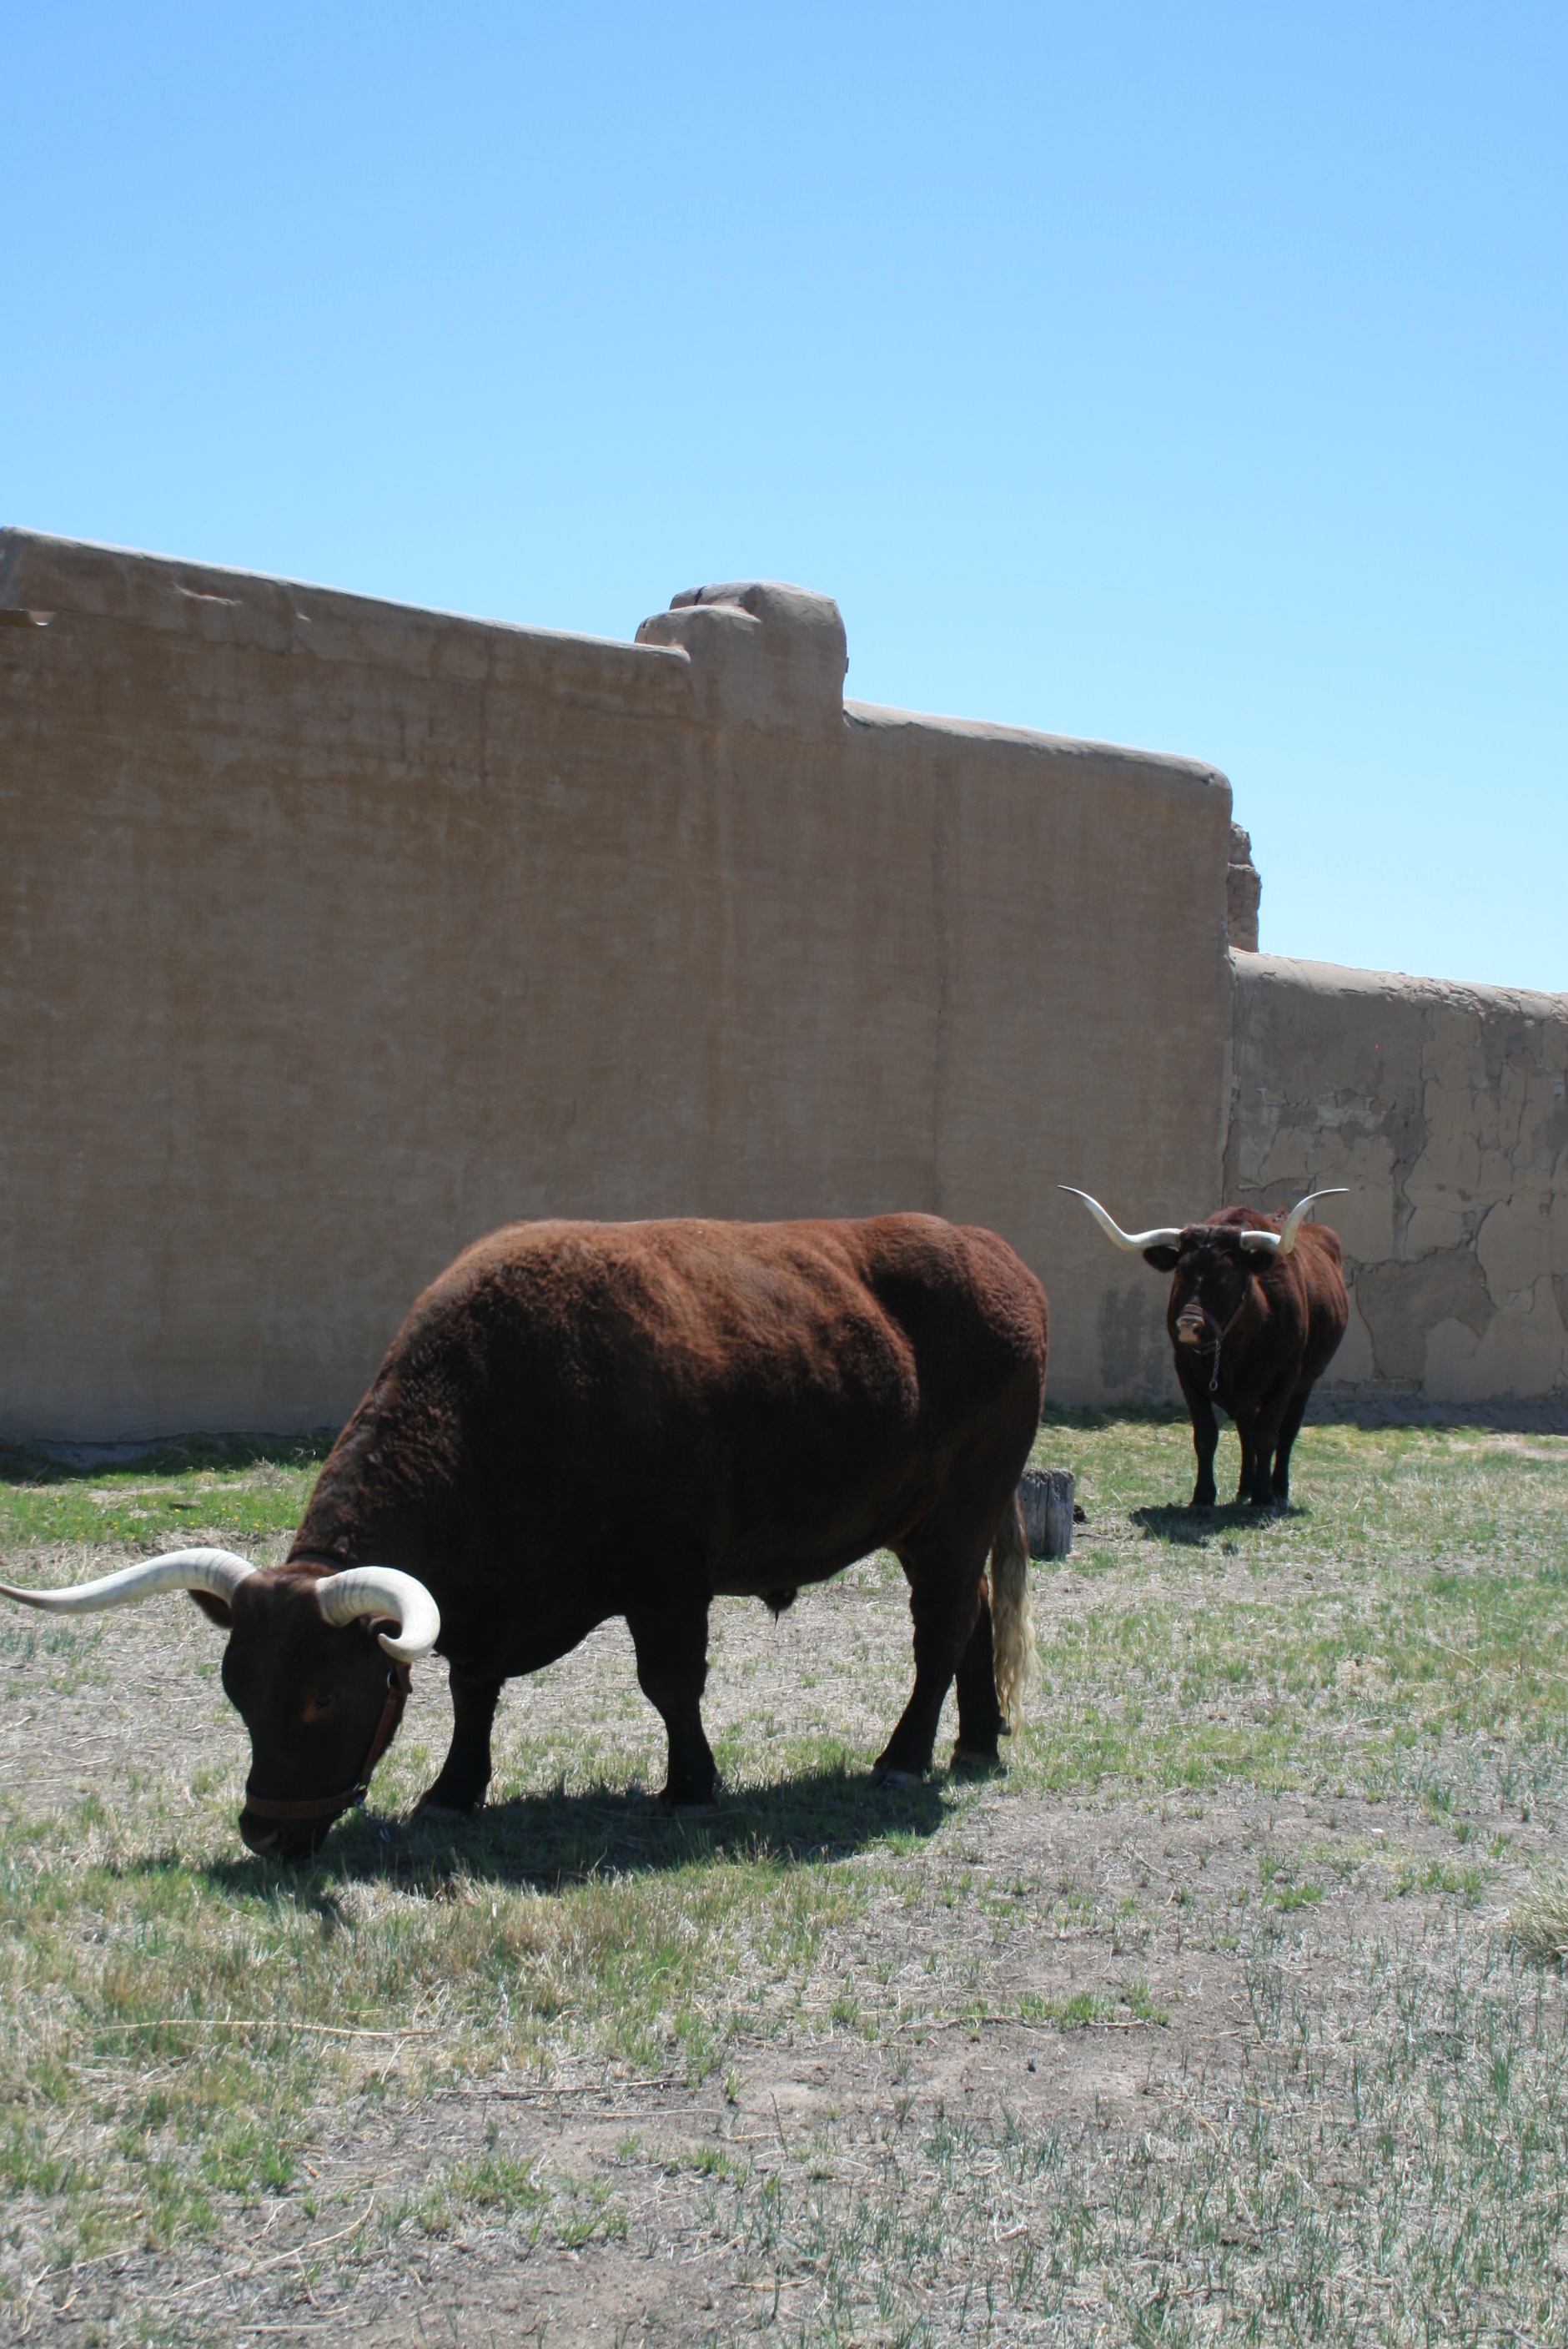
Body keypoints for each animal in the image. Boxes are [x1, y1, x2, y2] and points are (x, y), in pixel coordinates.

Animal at [0, 1215, 1049, 1858]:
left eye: (323, 1693)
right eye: (237, 1691)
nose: (264, 1832)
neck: (506, 1395)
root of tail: (993, 1252)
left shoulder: (668, 1577)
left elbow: (670, 1684)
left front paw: (689, 1784)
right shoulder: (479, 1606)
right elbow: (474, 1692)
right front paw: (452, 1789)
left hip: (957, 1507)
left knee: (939, 1630)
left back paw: (903, 1757)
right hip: (932, 1519)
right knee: (973, 1619)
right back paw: (975, 1745)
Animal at [1063, 1186, 1348, 1509]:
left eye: (1227, 1274)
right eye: (1181, 1272)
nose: (1188, 1326)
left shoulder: (1286, 1376)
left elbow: (1268, 1435)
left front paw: (1264, 1497)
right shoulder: (1186, 1370)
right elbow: (1206, 1435)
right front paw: (1203, 1495)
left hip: (1305, 1382)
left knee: (1287, 1432)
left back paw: (1278, 1490)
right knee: (1245, 1431)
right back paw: (1244, 1488)